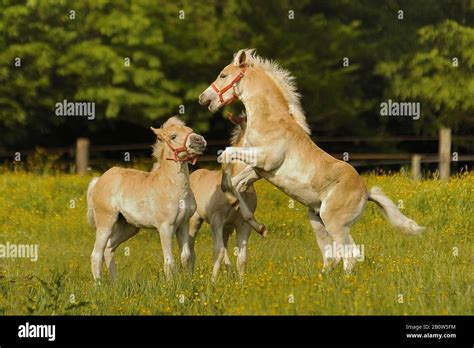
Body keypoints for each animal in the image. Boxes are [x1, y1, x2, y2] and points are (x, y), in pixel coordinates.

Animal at [87, 117, 206, 280]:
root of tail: (98, 181)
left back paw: (115, 283)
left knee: (108, 250)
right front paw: (171, 284)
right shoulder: (165, 227)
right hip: (106, 222)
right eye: (173, 136)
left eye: (190, 130)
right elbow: (169, 261)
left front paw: (187, 280)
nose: (199, 141)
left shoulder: (183, 224)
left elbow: (186, 256)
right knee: (96, 254)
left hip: (128, 227)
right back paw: (99, 284)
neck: (173, 187)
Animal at [188, 111, 262, 280]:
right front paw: (213, 281)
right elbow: (218, 252)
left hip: (227, 228)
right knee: (190, 247)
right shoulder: (217, 221)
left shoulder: (242, 225)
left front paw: (241, 282)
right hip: (195, 220)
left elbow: (242, 258)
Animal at [200, 48, 426, 272]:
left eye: (223, 75)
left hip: (334, 222)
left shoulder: (264, 159)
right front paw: (257, 224)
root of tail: (366, 193)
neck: (271, 120)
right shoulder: (258, 170)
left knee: (350, 255)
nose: (203, 98)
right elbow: (235, 184)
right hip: (318, 220)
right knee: (335, 255)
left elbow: (226, 154)